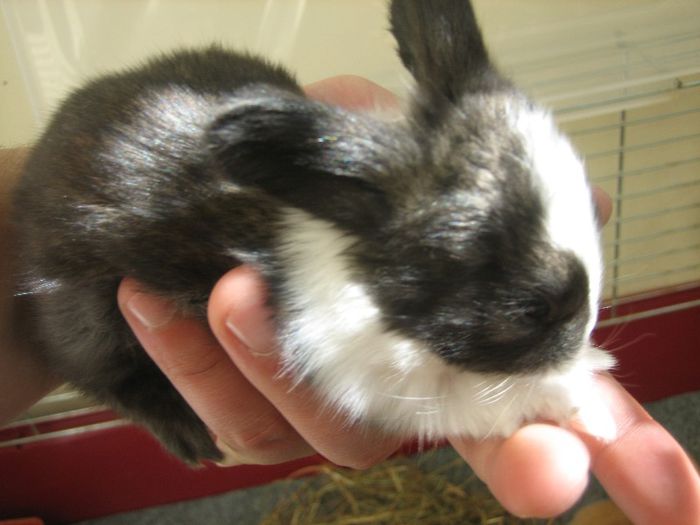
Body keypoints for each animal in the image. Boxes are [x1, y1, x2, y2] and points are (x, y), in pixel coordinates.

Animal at [12, 0, 612, 464]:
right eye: (530, 310)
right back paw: (187, 435)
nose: (582, 334)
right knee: (100, 374)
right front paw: (581, 400)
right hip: (85, 315)